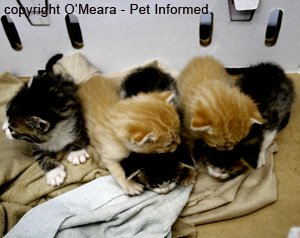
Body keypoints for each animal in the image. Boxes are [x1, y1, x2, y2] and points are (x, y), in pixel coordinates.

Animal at [1, 55, 89, 186]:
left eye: (13, 130)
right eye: (6, 116)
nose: (3, 130)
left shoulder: (77, 118)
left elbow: (81, 135)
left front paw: (76, 153)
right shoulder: (36, 145)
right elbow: (41, 156)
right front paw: (54, 173)